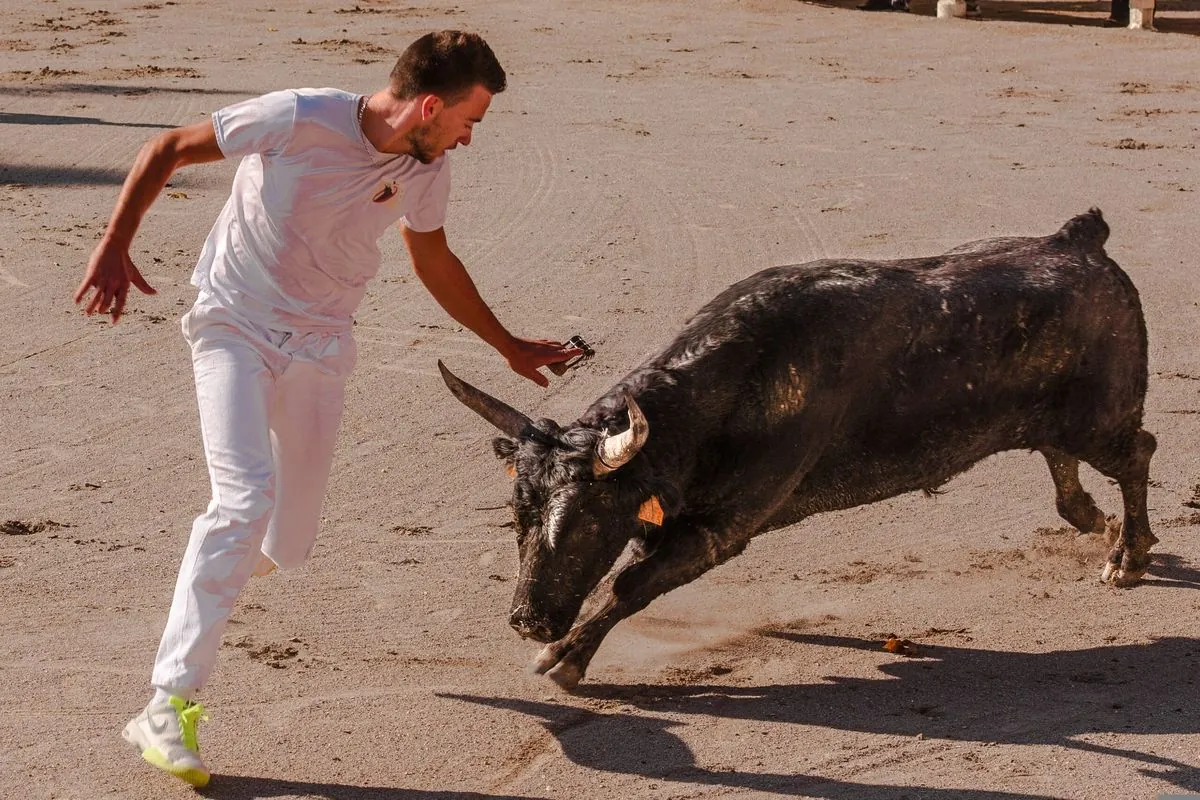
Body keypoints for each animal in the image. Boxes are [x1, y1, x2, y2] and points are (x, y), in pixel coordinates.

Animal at [439, 209, 1152, 690]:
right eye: (518, 517)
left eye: (588, 522)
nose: (528, 622)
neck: (727, 390)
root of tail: (1078, 240)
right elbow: (633, 573)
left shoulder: (722, 528)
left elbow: (630, 582)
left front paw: (565, 659)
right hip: (1056, 421)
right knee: (1063, 461)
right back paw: (1096, 524)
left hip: (1102, 418)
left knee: (1136, 454)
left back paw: (1127, 556)